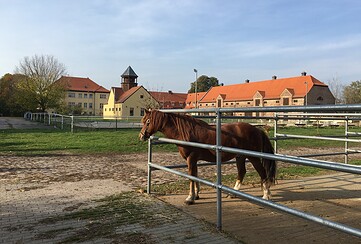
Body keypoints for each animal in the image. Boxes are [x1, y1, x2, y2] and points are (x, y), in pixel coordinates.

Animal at [139, 109, 274, 205]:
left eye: (148, 121)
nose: (141, 136)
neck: (184, 132)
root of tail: (257, 130)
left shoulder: (191, 158)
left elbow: (191, 177)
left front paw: (190, 198)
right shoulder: (193, 160)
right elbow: (195, 176)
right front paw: (196, 195)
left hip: (253, 157)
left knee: (262, 172)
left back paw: (266, 196)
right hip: (240, 157)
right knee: (242, 172)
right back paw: (234, 193)